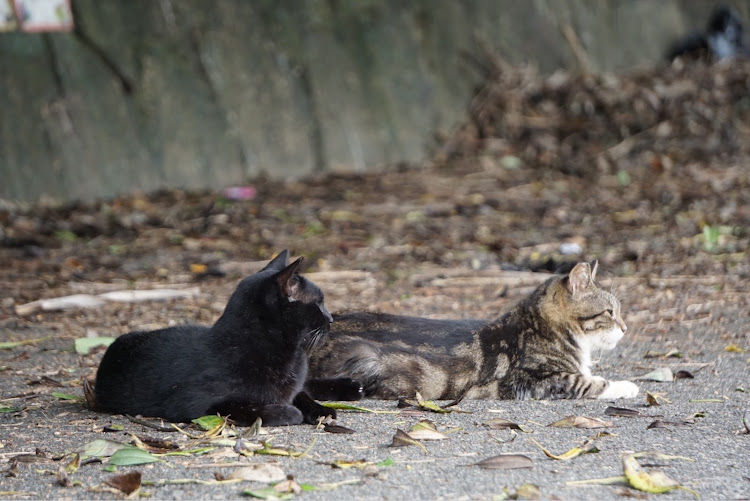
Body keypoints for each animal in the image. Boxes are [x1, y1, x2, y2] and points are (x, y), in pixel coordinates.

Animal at [95, 250, 366, 426]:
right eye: (318, 303)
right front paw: (289, 413)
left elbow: (302, 394)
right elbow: (253, 407)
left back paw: (352, 386)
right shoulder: (199, 405)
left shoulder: (293, 388)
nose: (331, 318)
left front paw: (320, 410)